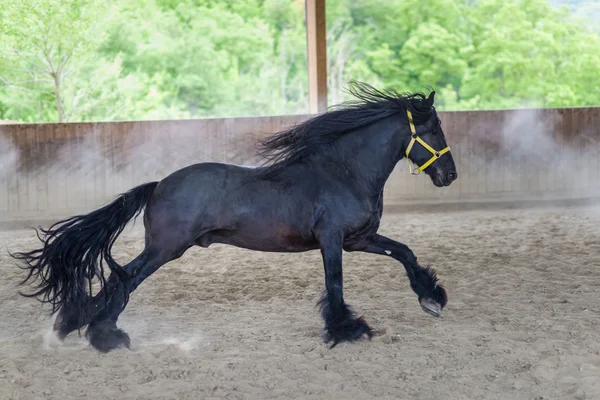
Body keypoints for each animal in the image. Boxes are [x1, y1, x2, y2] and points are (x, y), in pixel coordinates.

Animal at [11, 81, 458, 350]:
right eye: (434, 129)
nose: (449, 175)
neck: (343, 171)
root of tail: (158, 184)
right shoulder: (332, 241)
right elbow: (335, 284)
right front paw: (347, 329)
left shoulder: (359, 240)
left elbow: (405, 253)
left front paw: (431, 299)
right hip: (166, 248)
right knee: (124, 279)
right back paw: (105, 335)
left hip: (165, 248)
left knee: (119, 279)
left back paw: (78, 324)